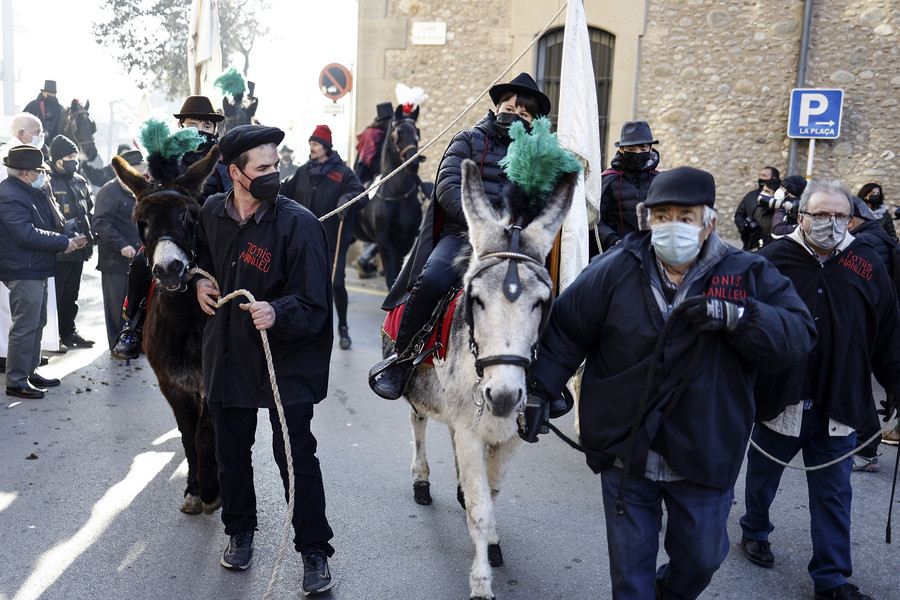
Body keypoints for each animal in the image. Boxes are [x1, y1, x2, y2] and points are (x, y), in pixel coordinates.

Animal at [110, 148, 221, 512]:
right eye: (141, 222)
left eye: (189, 216)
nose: (169, 269)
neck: (187, 321)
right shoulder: (172, 385)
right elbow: (188, 437)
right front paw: (195, 489)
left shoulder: (212, 384)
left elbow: (205, 434)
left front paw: (212, 490)